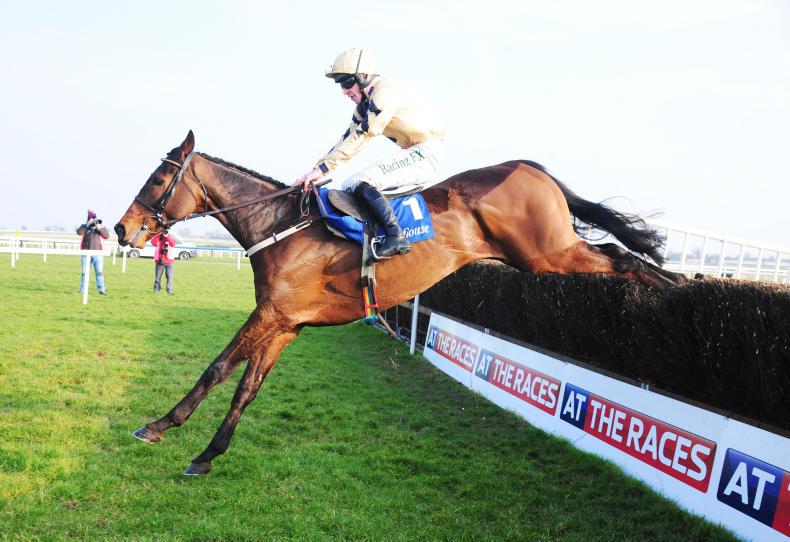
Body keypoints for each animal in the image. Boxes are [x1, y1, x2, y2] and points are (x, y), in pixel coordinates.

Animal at [114, 130, 685, 475]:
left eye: (159, 178)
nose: (122, 229)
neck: (279, 227)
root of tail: (525, 165)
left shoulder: (270, 315)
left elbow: (216, 368)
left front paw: (160, 425)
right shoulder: (286, 323)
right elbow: (246, 389)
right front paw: (208, 455)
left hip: (548, 253)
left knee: (619, 257)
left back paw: (674, 290)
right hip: (543, 255)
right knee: (618, 252)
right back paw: (673, 282)